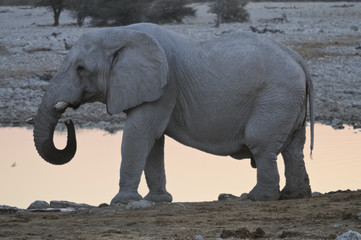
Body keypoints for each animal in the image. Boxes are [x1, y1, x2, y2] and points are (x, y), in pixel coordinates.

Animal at [34, 22, 316, 203]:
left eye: (81, 69)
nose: (69, 121)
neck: (119, 33)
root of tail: (299, 59)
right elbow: (153, 140)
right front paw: (159, 200)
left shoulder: (164, 87)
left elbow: (139, 134)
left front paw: (121, 202)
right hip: (289, 100)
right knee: (294, 148)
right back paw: (294, 195)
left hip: (276, 97)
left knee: (262, 144)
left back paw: (258, 198)